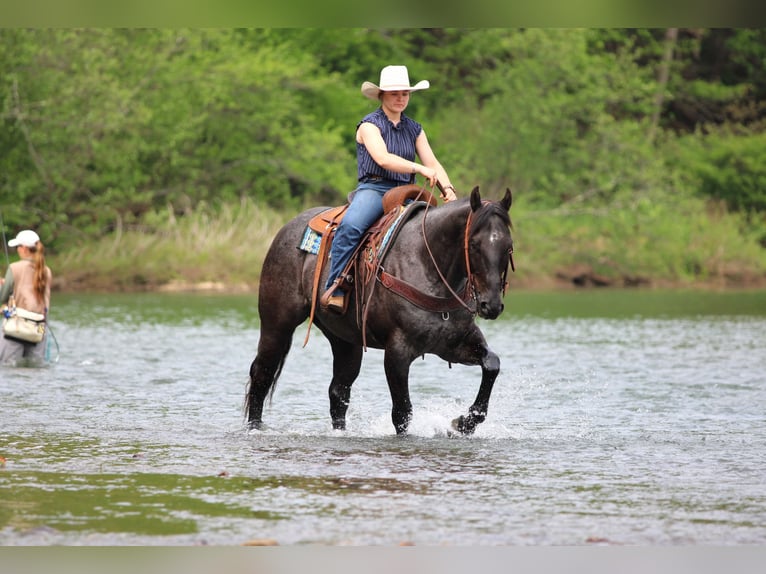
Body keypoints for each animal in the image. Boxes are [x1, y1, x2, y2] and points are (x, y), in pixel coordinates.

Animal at [245, 186, 514, 435]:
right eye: (474, 244)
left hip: (345, 341)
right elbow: (402, 412)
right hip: (276, 325)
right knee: (262, 374)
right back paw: (254, 428)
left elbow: (492, 364)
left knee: (338, 391)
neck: (429, 265)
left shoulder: (454, 344)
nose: (491, 305)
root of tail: (287, 228)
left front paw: (465, 422)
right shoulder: (397, 351)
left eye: (508, 246)